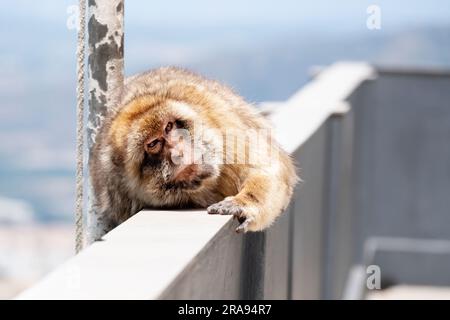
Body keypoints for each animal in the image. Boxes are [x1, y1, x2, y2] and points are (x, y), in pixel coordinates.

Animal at [89, 68, 298, 242]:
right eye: (154, 144)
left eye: (169, 127)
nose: (178, 152)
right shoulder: (119, 195)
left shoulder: (226, 127)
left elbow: (266, 167)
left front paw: (243, 202)